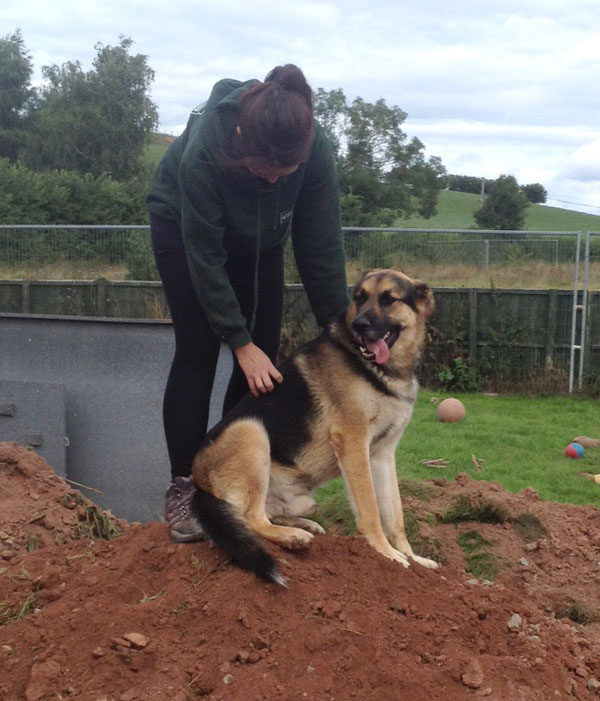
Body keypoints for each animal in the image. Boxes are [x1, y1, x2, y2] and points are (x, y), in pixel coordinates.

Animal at [190, 268, 438, 584]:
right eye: (360, 298)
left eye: (388, 299)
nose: (359, 325)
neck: (376, 368)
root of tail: (198, 483)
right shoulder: (353, 443)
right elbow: (370, 509)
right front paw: (386, 554)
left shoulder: (383, 454)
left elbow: (395, 514)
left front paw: (412, 557)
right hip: (251, 431)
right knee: (251, 518)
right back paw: (292, 536)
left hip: (300, 496)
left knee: (262, 514)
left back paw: (304, 525)